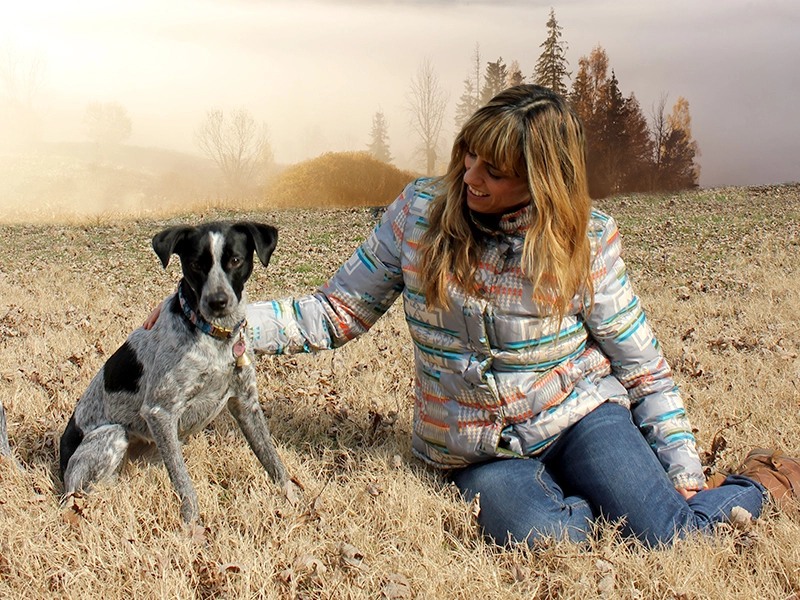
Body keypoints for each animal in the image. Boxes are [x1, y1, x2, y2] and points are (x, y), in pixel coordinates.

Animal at [59, 223, 296, 524]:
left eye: (235, 260)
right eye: (195, 264)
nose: (217, 301)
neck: (214, 336)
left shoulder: (246, 404)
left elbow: (273, 460)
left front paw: (294, 500)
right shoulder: (160, 413)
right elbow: (184, 481)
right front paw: (191, 526)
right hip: (113, 434)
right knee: (84, 491)